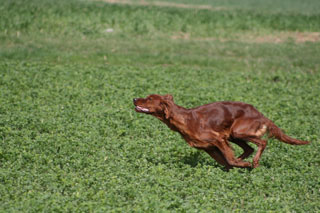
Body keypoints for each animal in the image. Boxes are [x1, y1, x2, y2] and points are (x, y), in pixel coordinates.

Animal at [132, 94, 308, 169]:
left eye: (149, 99)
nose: (134, 99)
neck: (184, 120)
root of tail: (261, 114)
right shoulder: (209, 147)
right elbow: (226, 161)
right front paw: (236, 166)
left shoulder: (217, 139)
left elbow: (228, 159)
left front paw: (242, 165)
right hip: (232, 135)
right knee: (248, 148)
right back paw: (243, 161)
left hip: (238, 131)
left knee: (262, 142)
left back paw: (253, 163)